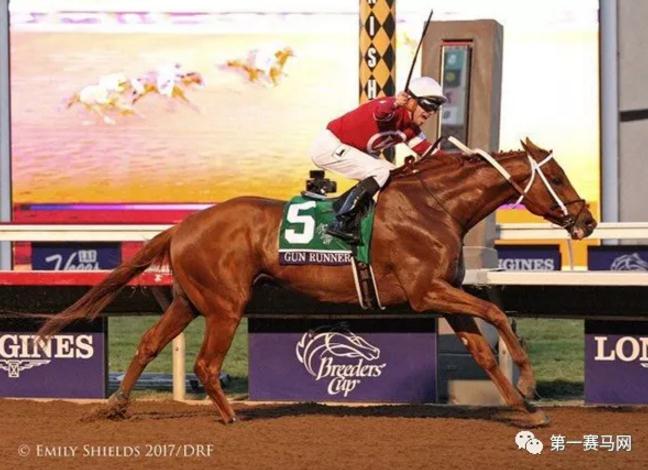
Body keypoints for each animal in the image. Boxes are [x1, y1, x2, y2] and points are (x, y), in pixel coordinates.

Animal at [37, 138, 596, 426]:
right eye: (558, 177)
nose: (587, 222)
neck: (435, 205)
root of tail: (185, 224)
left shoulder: (443, 294)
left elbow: (482, 349)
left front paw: (525, 410)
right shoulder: (425, 292)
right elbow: (499, 312)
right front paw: (530, 384)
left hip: (189, 301)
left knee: (150, 343)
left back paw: (116, 405)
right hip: (224, 304)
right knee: (205, 363)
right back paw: (230, 416)